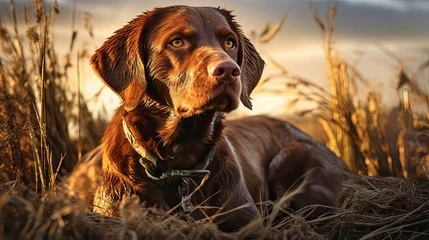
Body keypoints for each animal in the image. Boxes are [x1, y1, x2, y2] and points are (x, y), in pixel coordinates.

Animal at [68, 5, 346, 231]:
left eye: (230, 42)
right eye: (177, 41)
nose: (229, 71)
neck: (180, 161)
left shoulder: (247, 222)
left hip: (293, 155)